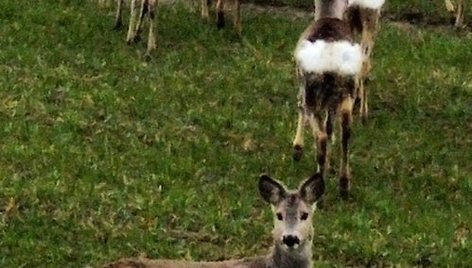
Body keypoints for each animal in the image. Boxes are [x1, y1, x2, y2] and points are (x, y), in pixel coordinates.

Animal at [292, 0, 362, 199]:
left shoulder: (302, 86)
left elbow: (300, 107)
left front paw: (297, 150)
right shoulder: (333, 103)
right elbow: (330, 127)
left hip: (312, 93)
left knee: (320, 136)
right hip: (348, 91)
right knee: (345, 130)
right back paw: (344, 185)